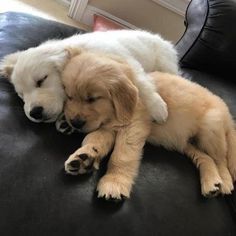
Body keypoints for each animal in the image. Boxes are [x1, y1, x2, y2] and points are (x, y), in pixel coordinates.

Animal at [0, 30, 177, 128]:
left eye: (41, 80)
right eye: (21, 95)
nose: (34, 113)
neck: (79, 51)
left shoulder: (128, 62)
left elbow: (141, 83)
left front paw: (157, 108)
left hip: (165, 62)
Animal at [61, 48, 235, 200]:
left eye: (92, 99)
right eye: (69, 96)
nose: (75, 123)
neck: (113, 114)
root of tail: (230, 119)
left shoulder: (133, 126)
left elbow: (122, 155)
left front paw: (114, 182)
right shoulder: (108, 128)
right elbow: (94, 139)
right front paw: (84, 157)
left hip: (210, 127)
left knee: (221, 159)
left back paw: (225, 182)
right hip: (187, 143)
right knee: (206, 157)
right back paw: (212, 183)